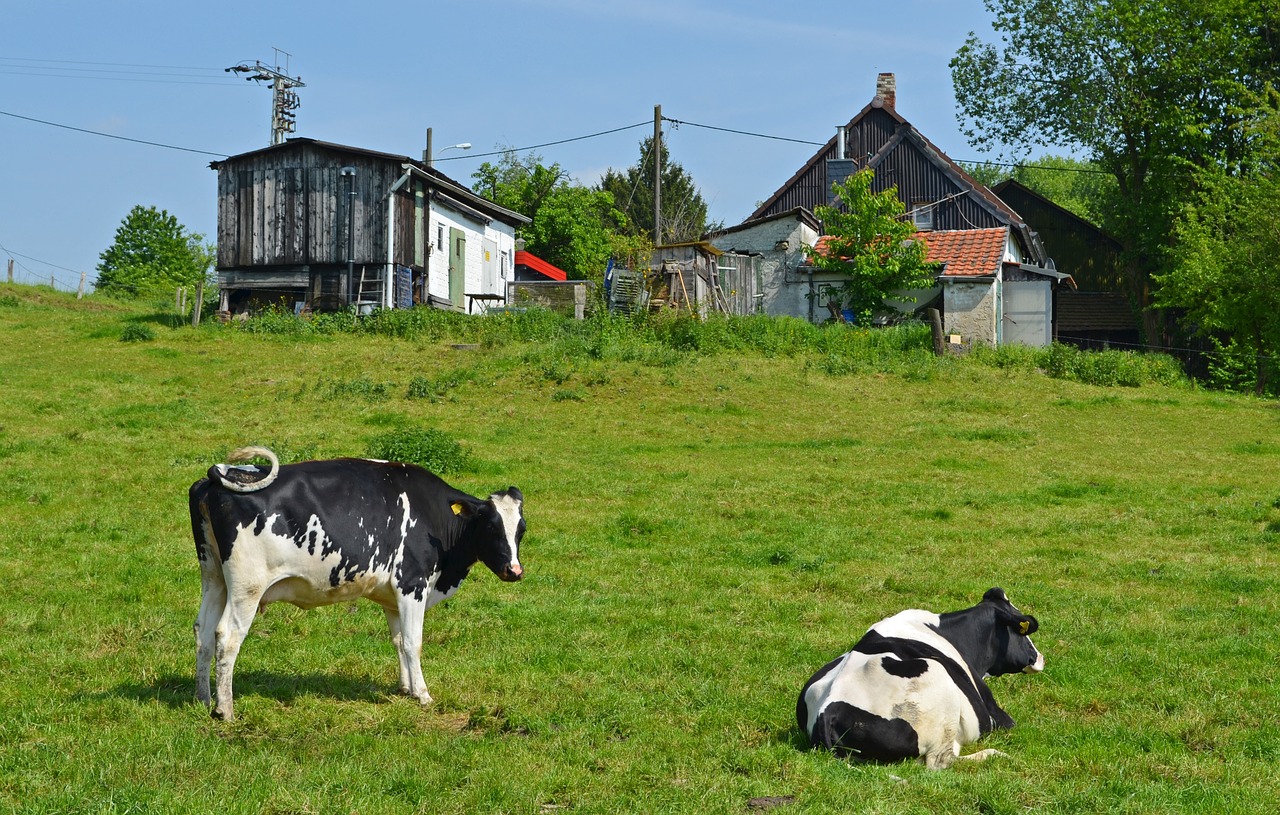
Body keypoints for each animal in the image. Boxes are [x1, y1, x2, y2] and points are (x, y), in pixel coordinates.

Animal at [186, 445, 524, 716]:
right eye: (491, 527)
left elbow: (398, 641)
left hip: (214, 576)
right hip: (247, 586)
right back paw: (225, 709)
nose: (515, 571)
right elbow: (413, 642)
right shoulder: (412, 584)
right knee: (227, 636)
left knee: (203, 631)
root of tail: (217, 477)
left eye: (521, 530)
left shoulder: (393, 596)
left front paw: (406, 689)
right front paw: (423, 694)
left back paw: (203, 699)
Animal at [793, 585, 1044, 767]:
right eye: (1023, 633)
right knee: (940, 762)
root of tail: (827, 710)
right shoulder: (995, 714)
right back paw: (997, 755)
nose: (1040, 657)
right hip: (938, 681)